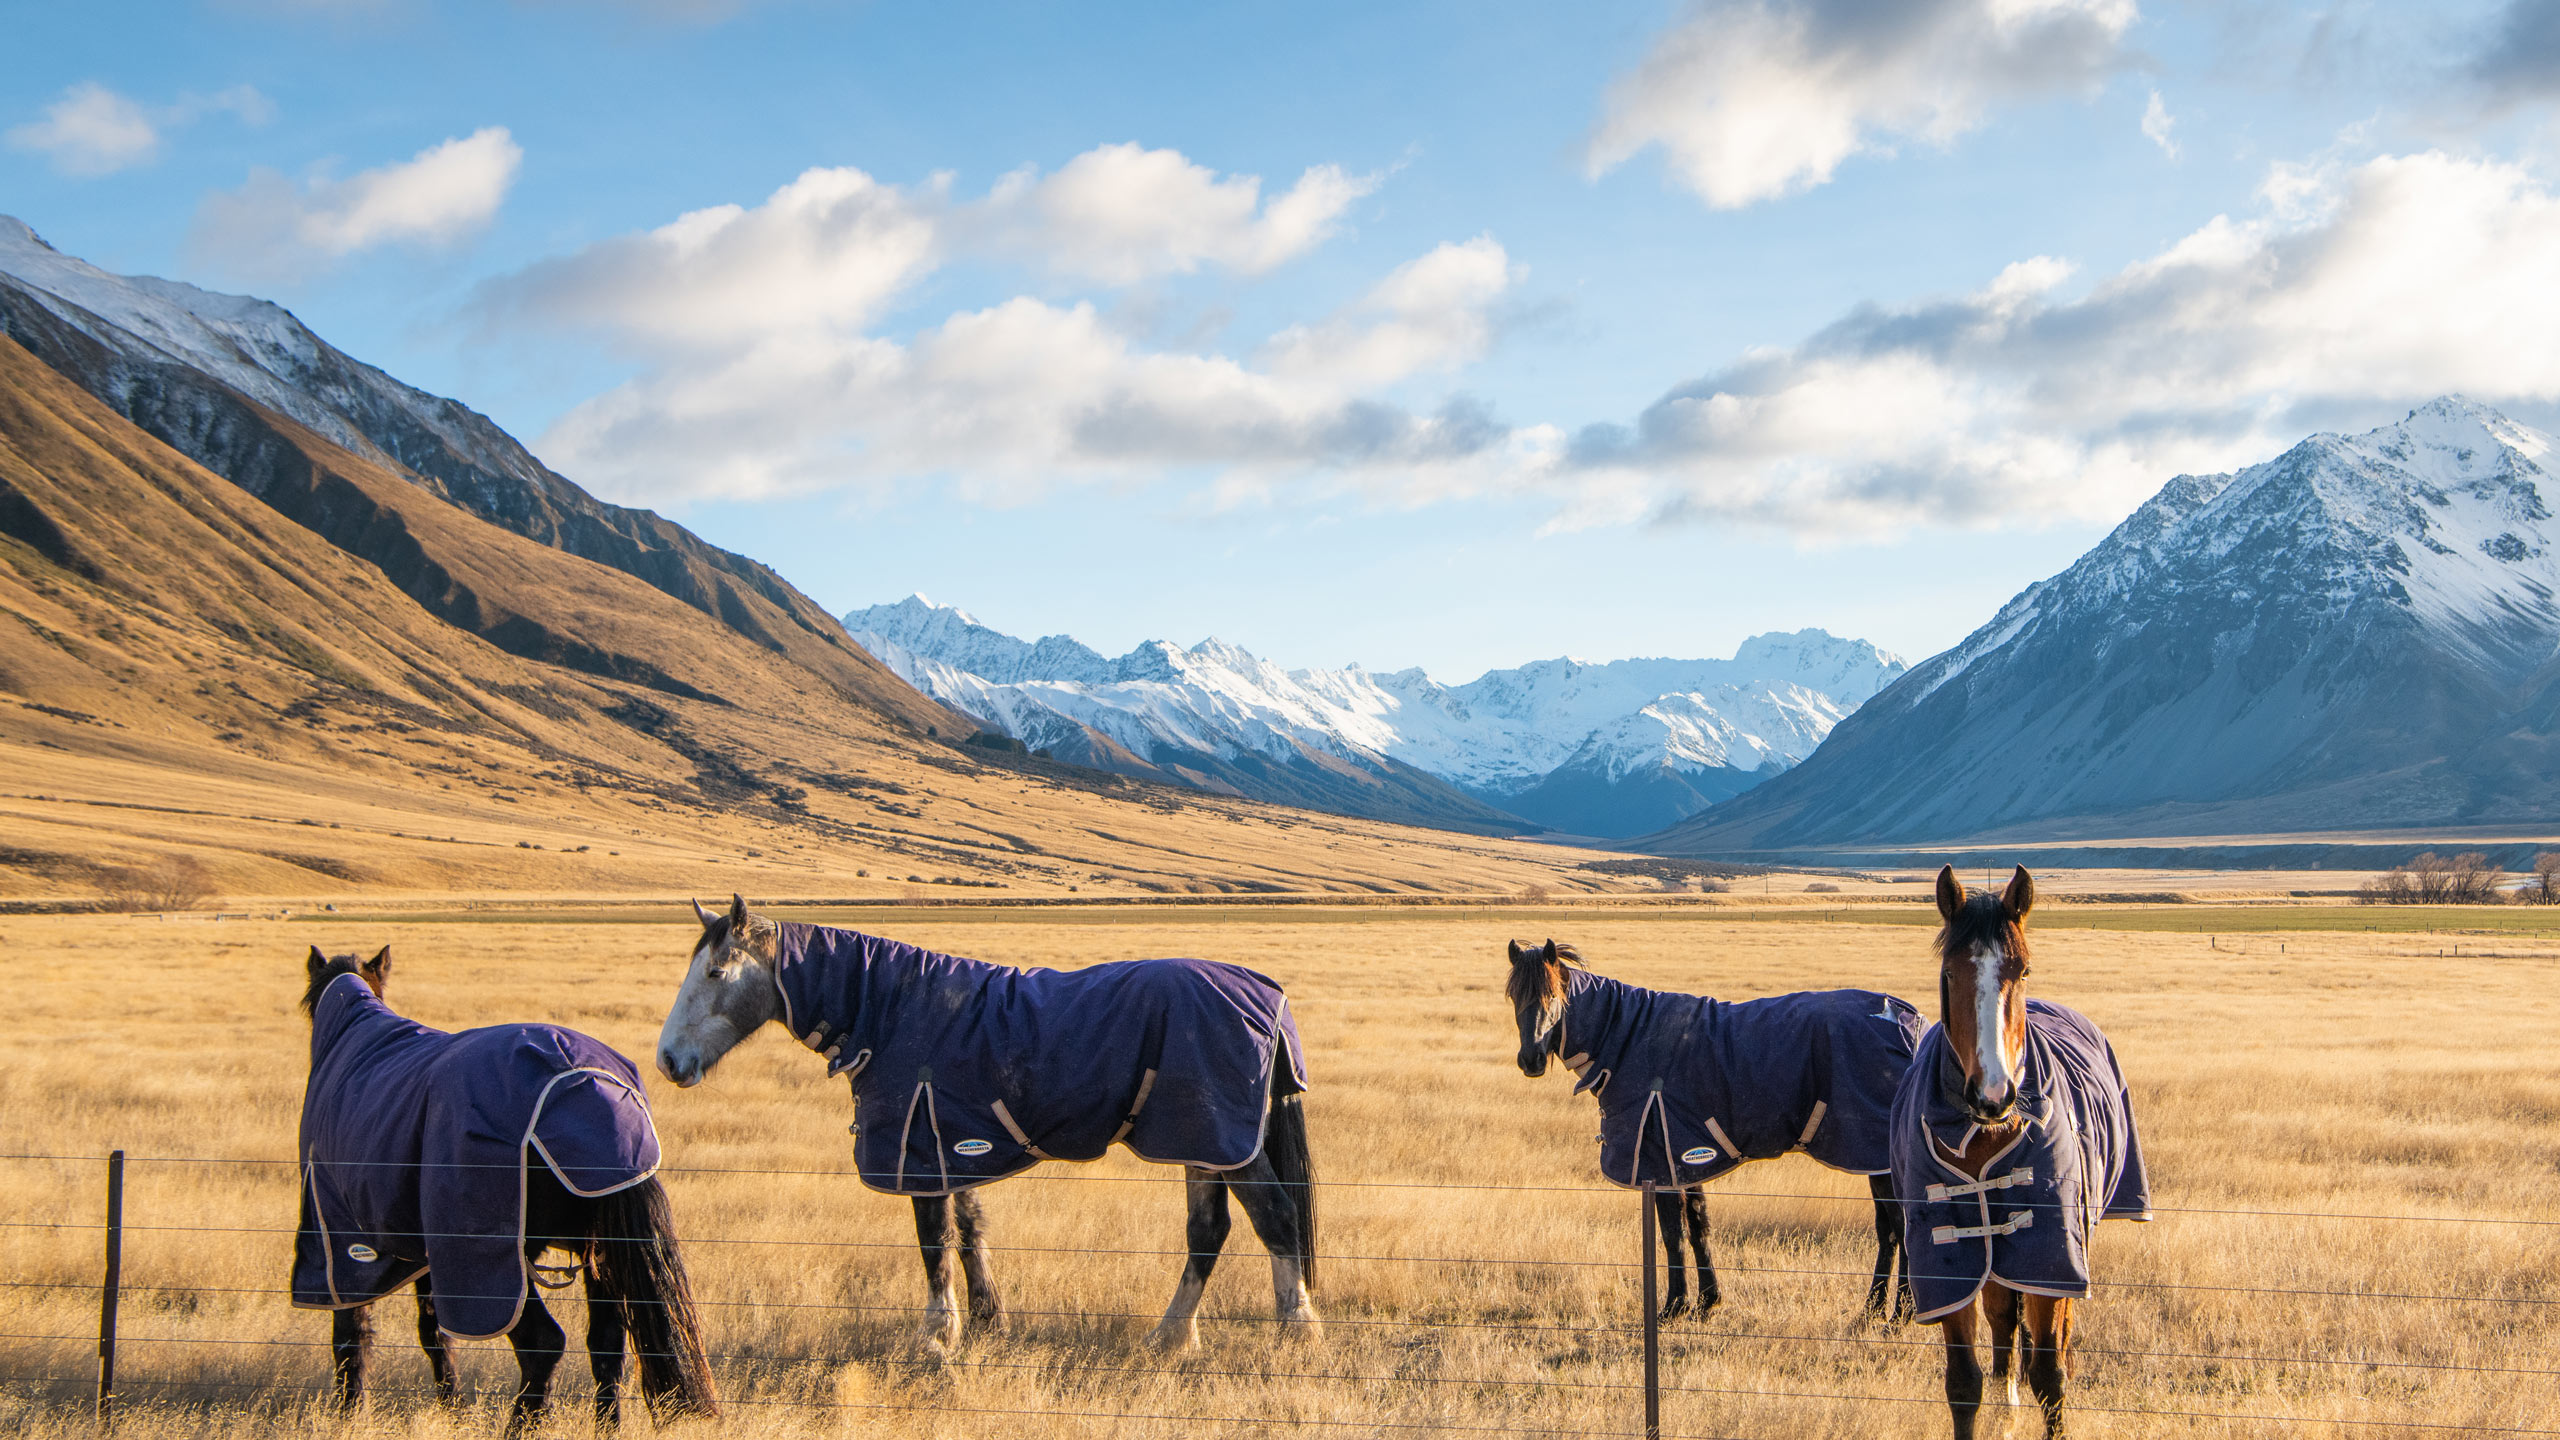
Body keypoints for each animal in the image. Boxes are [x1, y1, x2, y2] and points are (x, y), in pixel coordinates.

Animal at [294, 946, 717, 1432]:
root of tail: (592, 1088)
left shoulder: (341, 1236)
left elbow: (351, 1332)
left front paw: (349, 1411)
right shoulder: (428, 1251)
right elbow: (433, 1331)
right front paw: (453, 1409)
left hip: (502, 1256)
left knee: (543, 1343)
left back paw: (521, 1425)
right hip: (599, 1250)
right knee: (606, 1344)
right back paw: (604, 1427)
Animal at [653, 896, 1320, 1354]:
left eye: (715, 973)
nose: (667, 1061)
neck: (892, 1010)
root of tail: (1265, 994)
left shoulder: (917, 1148)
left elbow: (934, 1240)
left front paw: (936, 1336)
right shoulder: (951, 1141)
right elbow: (971, 1230)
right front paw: (985, 1319)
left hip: (1221, 1140)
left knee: (1275, 1216)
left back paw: (1297, 1331)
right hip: (1201, 1142)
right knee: (1208, 1230)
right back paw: (1171, 1338)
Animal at [1505, 938, 1922, 1322]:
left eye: (1552, 995)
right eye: (1513, 996)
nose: (1531, 1060)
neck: (1627, 1037)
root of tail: (1907, 1022)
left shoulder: (1660, 1162)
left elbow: (1671, 1234)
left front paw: (1673, 1307)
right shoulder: (1686, 1156)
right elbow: (1698, 1226)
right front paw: (1707, 1302)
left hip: (1876, 1157)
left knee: (1899, 1226)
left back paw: (1898, 1314)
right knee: (1888, 1228)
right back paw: (1871, 1311)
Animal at [1893, 867, 2151, 1439]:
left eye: (2024, 969)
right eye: (1949, 974)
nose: (1993, 1094)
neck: (1984, 1136)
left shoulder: (2050, 1258)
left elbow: (2051, 1377)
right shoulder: (1954, 1262)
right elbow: (1964, 1382)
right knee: (2003, 1326)